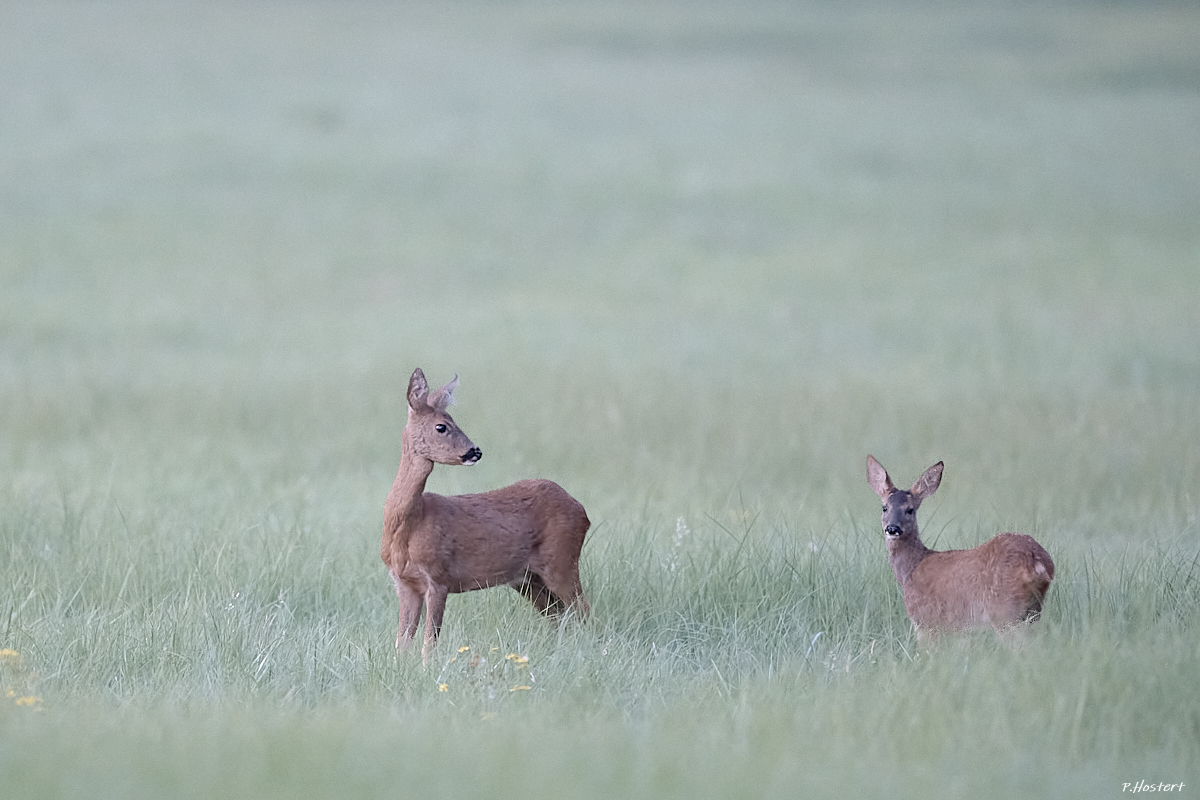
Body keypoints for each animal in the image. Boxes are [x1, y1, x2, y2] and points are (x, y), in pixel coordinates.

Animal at [381, 368, 590, 663]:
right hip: (528, 579)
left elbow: (429, 642)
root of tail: (582, 510)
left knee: (582, 610)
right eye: (441, 426)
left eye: (453, 421)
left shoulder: (439, 576)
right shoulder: (404, 583)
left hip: (561, 560)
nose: (475, 451)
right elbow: (402, 643)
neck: (409, 525)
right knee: (560, 615)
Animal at [865, 456, 1054, 644]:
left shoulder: (925, 621)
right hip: (1032, 611)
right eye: (885, 508)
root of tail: (1036, 561)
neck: (910, 569)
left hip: (1005, 610)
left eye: (910, 510)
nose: (892, 528)